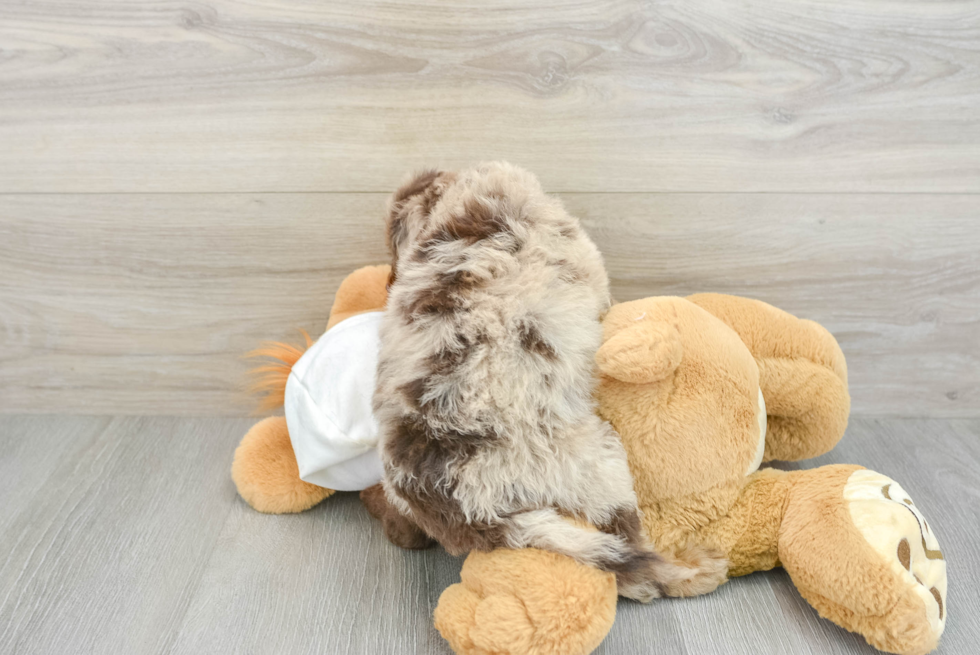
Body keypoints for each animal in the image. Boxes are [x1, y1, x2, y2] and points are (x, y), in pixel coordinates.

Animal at [364, 160, 724, 600]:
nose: (388, 280)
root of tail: (464, 509)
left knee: (403, 528)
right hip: (598, 468)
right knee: (631, 551)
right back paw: (692, 569)